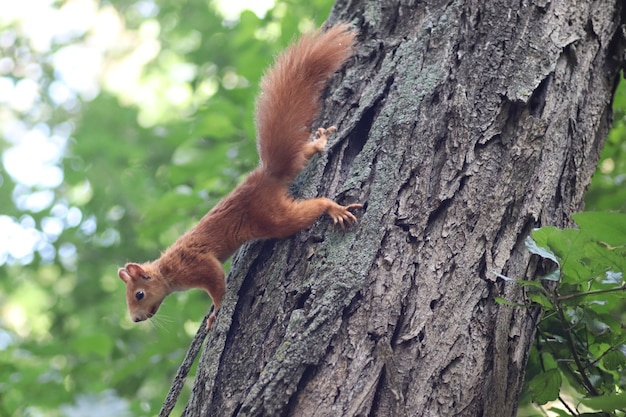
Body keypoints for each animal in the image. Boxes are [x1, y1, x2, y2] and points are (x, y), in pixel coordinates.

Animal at [117, 23, 360, 328]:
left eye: (139, 294)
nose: (136, 319)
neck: (167, 270)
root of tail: (266, 176)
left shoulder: (197, 263)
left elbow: (216, 284)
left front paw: (216, 312)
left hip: (272, 217)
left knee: (308, 211)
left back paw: (334, 208)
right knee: (303, 156)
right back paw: (319, 143)